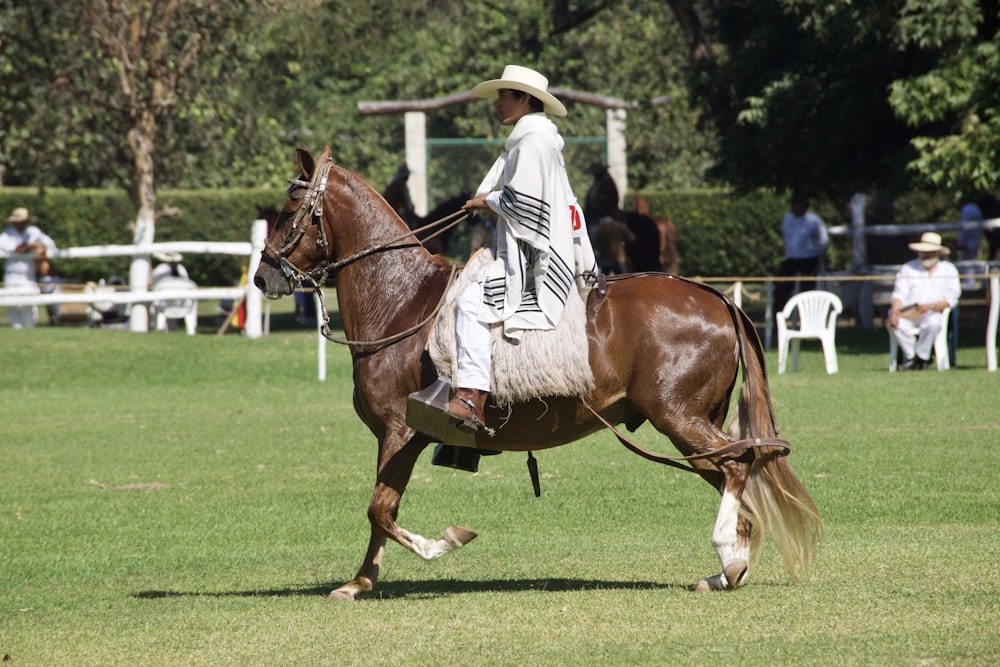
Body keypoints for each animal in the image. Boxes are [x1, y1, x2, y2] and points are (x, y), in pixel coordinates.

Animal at [252, 147, 820, 604]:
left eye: (288, 211)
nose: (262, 276)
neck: (401, 301)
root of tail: (718, 298)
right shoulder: (390, 437)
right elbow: (379, 509)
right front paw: (358, 582)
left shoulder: (401, 430)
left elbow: (381, 509)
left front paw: (444, 542)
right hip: (691, 425)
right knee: (734, 473)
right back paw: (727, 569)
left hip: (679, 417)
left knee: (738, 465)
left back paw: (730, 558)